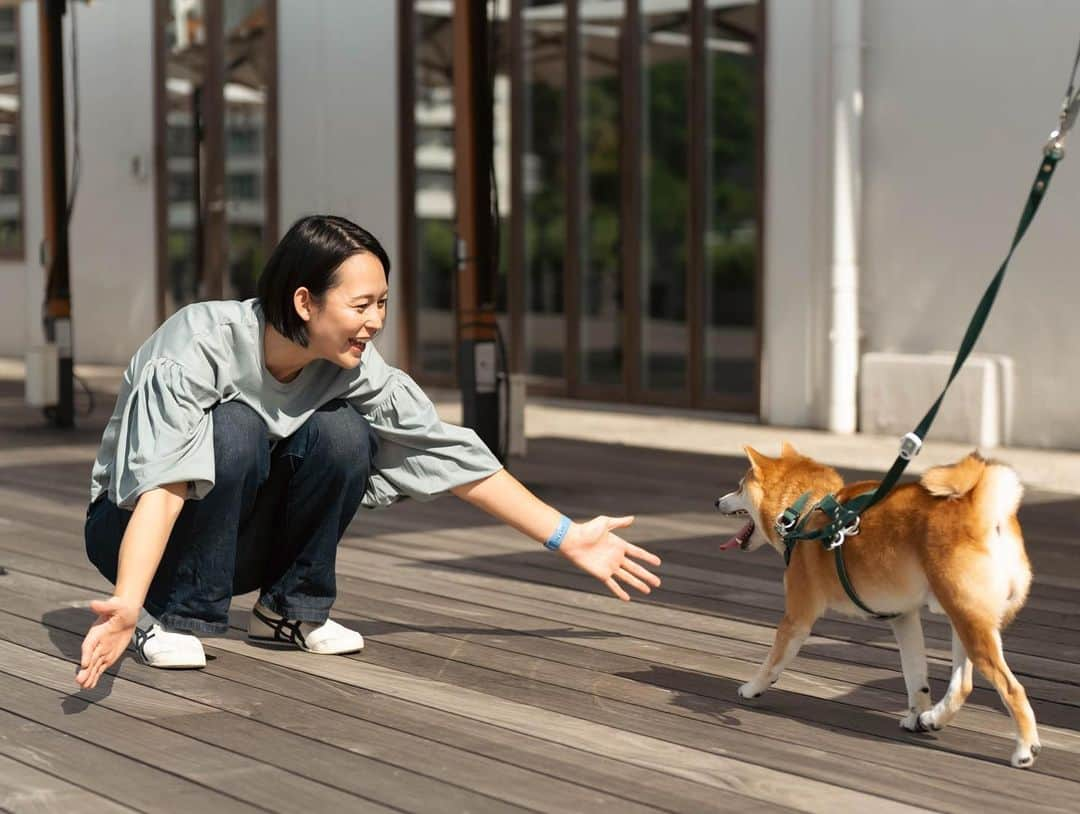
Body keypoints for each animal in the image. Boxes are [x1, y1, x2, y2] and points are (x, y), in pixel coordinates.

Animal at [712, 444, 1041, 768]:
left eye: (739, 487)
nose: (717, 501)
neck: (805, 510)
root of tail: (982, 510)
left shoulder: (797, 618)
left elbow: (772, 662)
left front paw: (752, 687)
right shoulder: (903, 617)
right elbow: (915, 676)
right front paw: (915, 716)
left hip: (969, 623)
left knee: (1011, 688)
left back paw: (1025, 749)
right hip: (965, 621)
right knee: (963, 685)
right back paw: (933, 718)